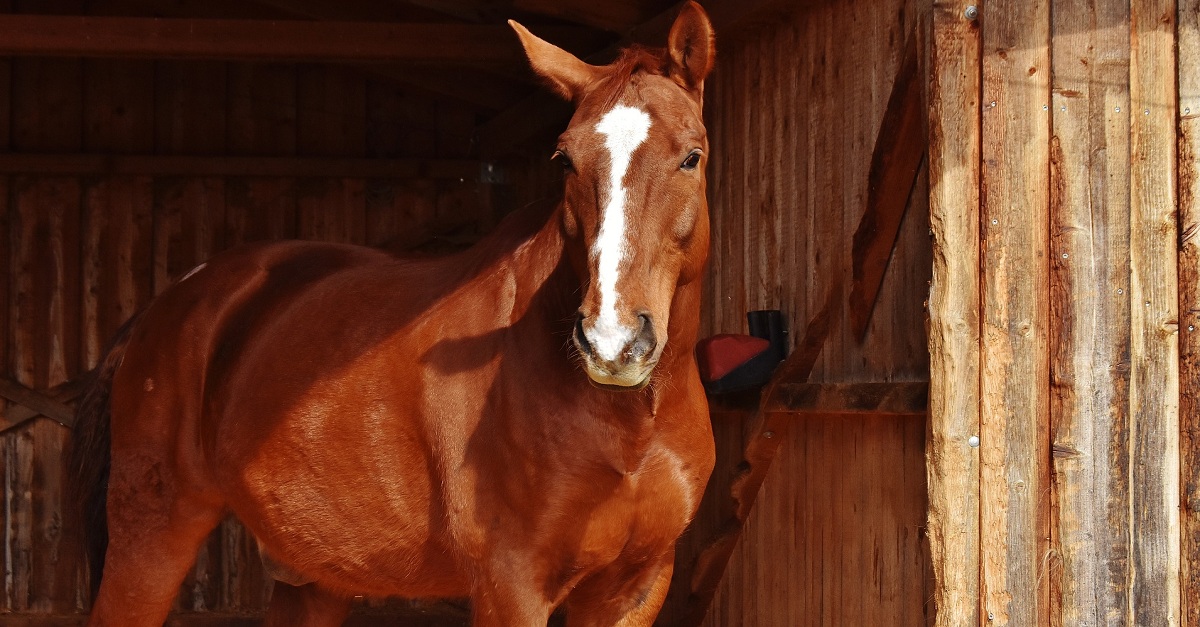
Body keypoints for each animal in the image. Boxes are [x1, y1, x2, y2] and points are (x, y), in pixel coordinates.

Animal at [68, 2, 710, 619]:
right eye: (564, 160)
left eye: (692, 157)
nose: (611, 341)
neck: (628, 425)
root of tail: (167, 304)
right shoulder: (511, 587)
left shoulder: (634, 590)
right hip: (151, 541)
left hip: (312, 579)